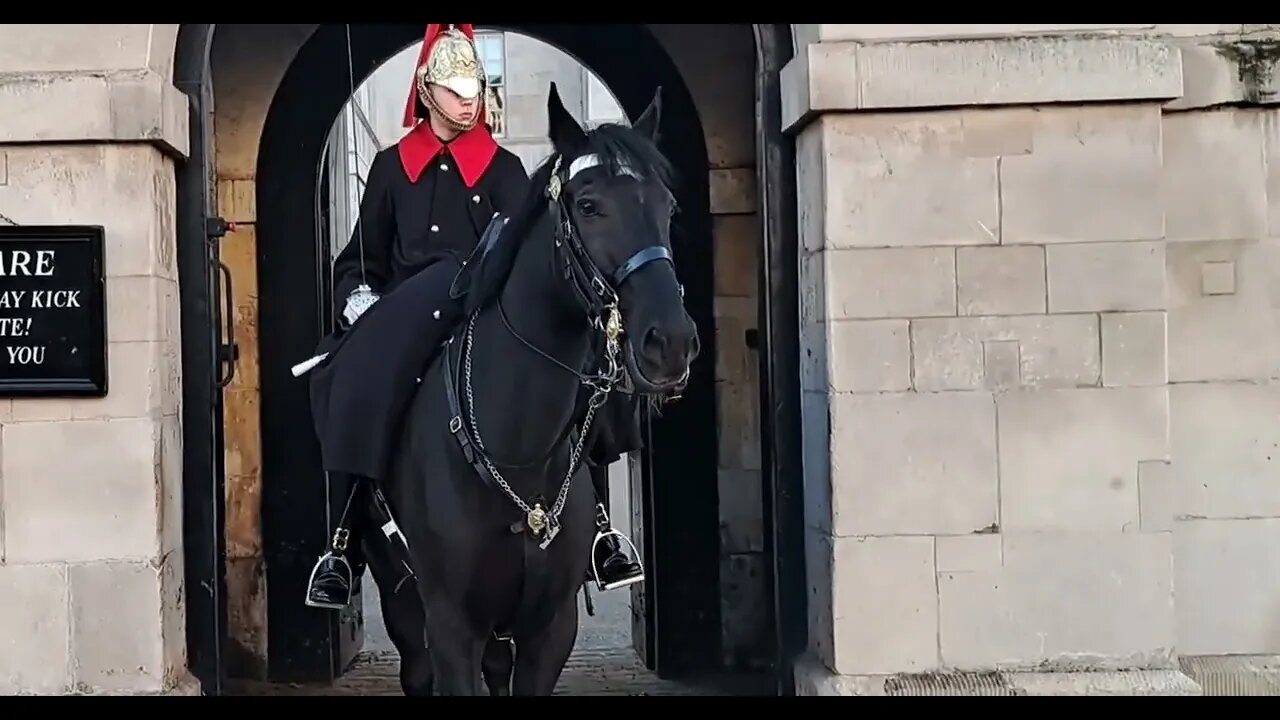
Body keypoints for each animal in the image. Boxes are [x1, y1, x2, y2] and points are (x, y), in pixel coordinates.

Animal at [353, 81, 701, 691]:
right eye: (588, 205)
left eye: (668, 205)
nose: (671, 343)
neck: (517, 447)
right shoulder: (451, 625)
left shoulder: (550, 626)